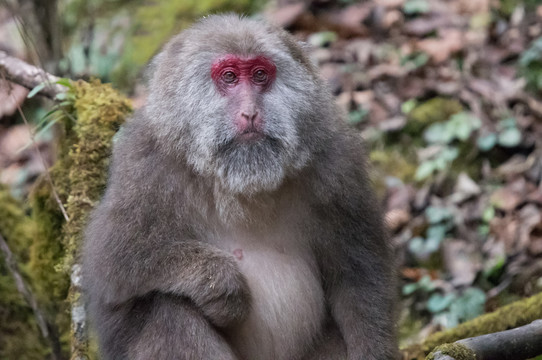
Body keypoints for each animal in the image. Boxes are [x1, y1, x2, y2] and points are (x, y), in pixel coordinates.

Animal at [84, 12, 400, 360]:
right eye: (230, 77)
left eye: (260, 75)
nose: (250, 112)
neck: (244, 184)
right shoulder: (144, 166)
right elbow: (113, 262)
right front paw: (219, 283)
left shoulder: (338, 165)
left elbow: (358, 275)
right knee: (168, 311)